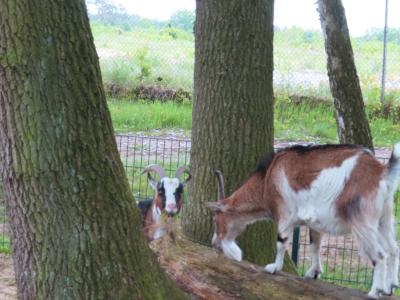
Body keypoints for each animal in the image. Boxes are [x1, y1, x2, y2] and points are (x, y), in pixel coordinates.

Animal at [208, 144, 400, 300]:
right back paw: (390, 287)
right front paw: (313, 273)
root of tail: (381, 172)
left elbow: (281, 242)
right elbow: (315, 245)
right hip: (384, 218)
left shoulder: (285, 215)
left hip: (362, 221)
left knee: (380, 255)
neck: (268, 178)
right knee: (393, 249)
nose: (214, 243)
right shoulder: (315, 223)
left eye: (215, 218)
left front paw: (273, 268)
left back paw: (375, 291)